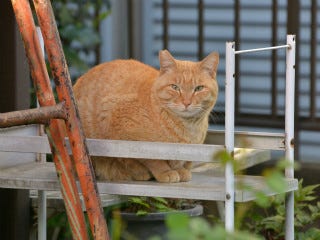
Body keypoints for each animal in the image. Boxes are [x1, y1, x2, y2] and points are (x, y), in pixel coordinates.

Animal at [74, 50, 219, 182]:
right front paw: (165, 171)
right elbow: (151, 159)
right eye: (175, 87)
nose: (187, 102)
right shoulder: (121, 128)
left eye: (199, 88)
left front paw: (180, 170)